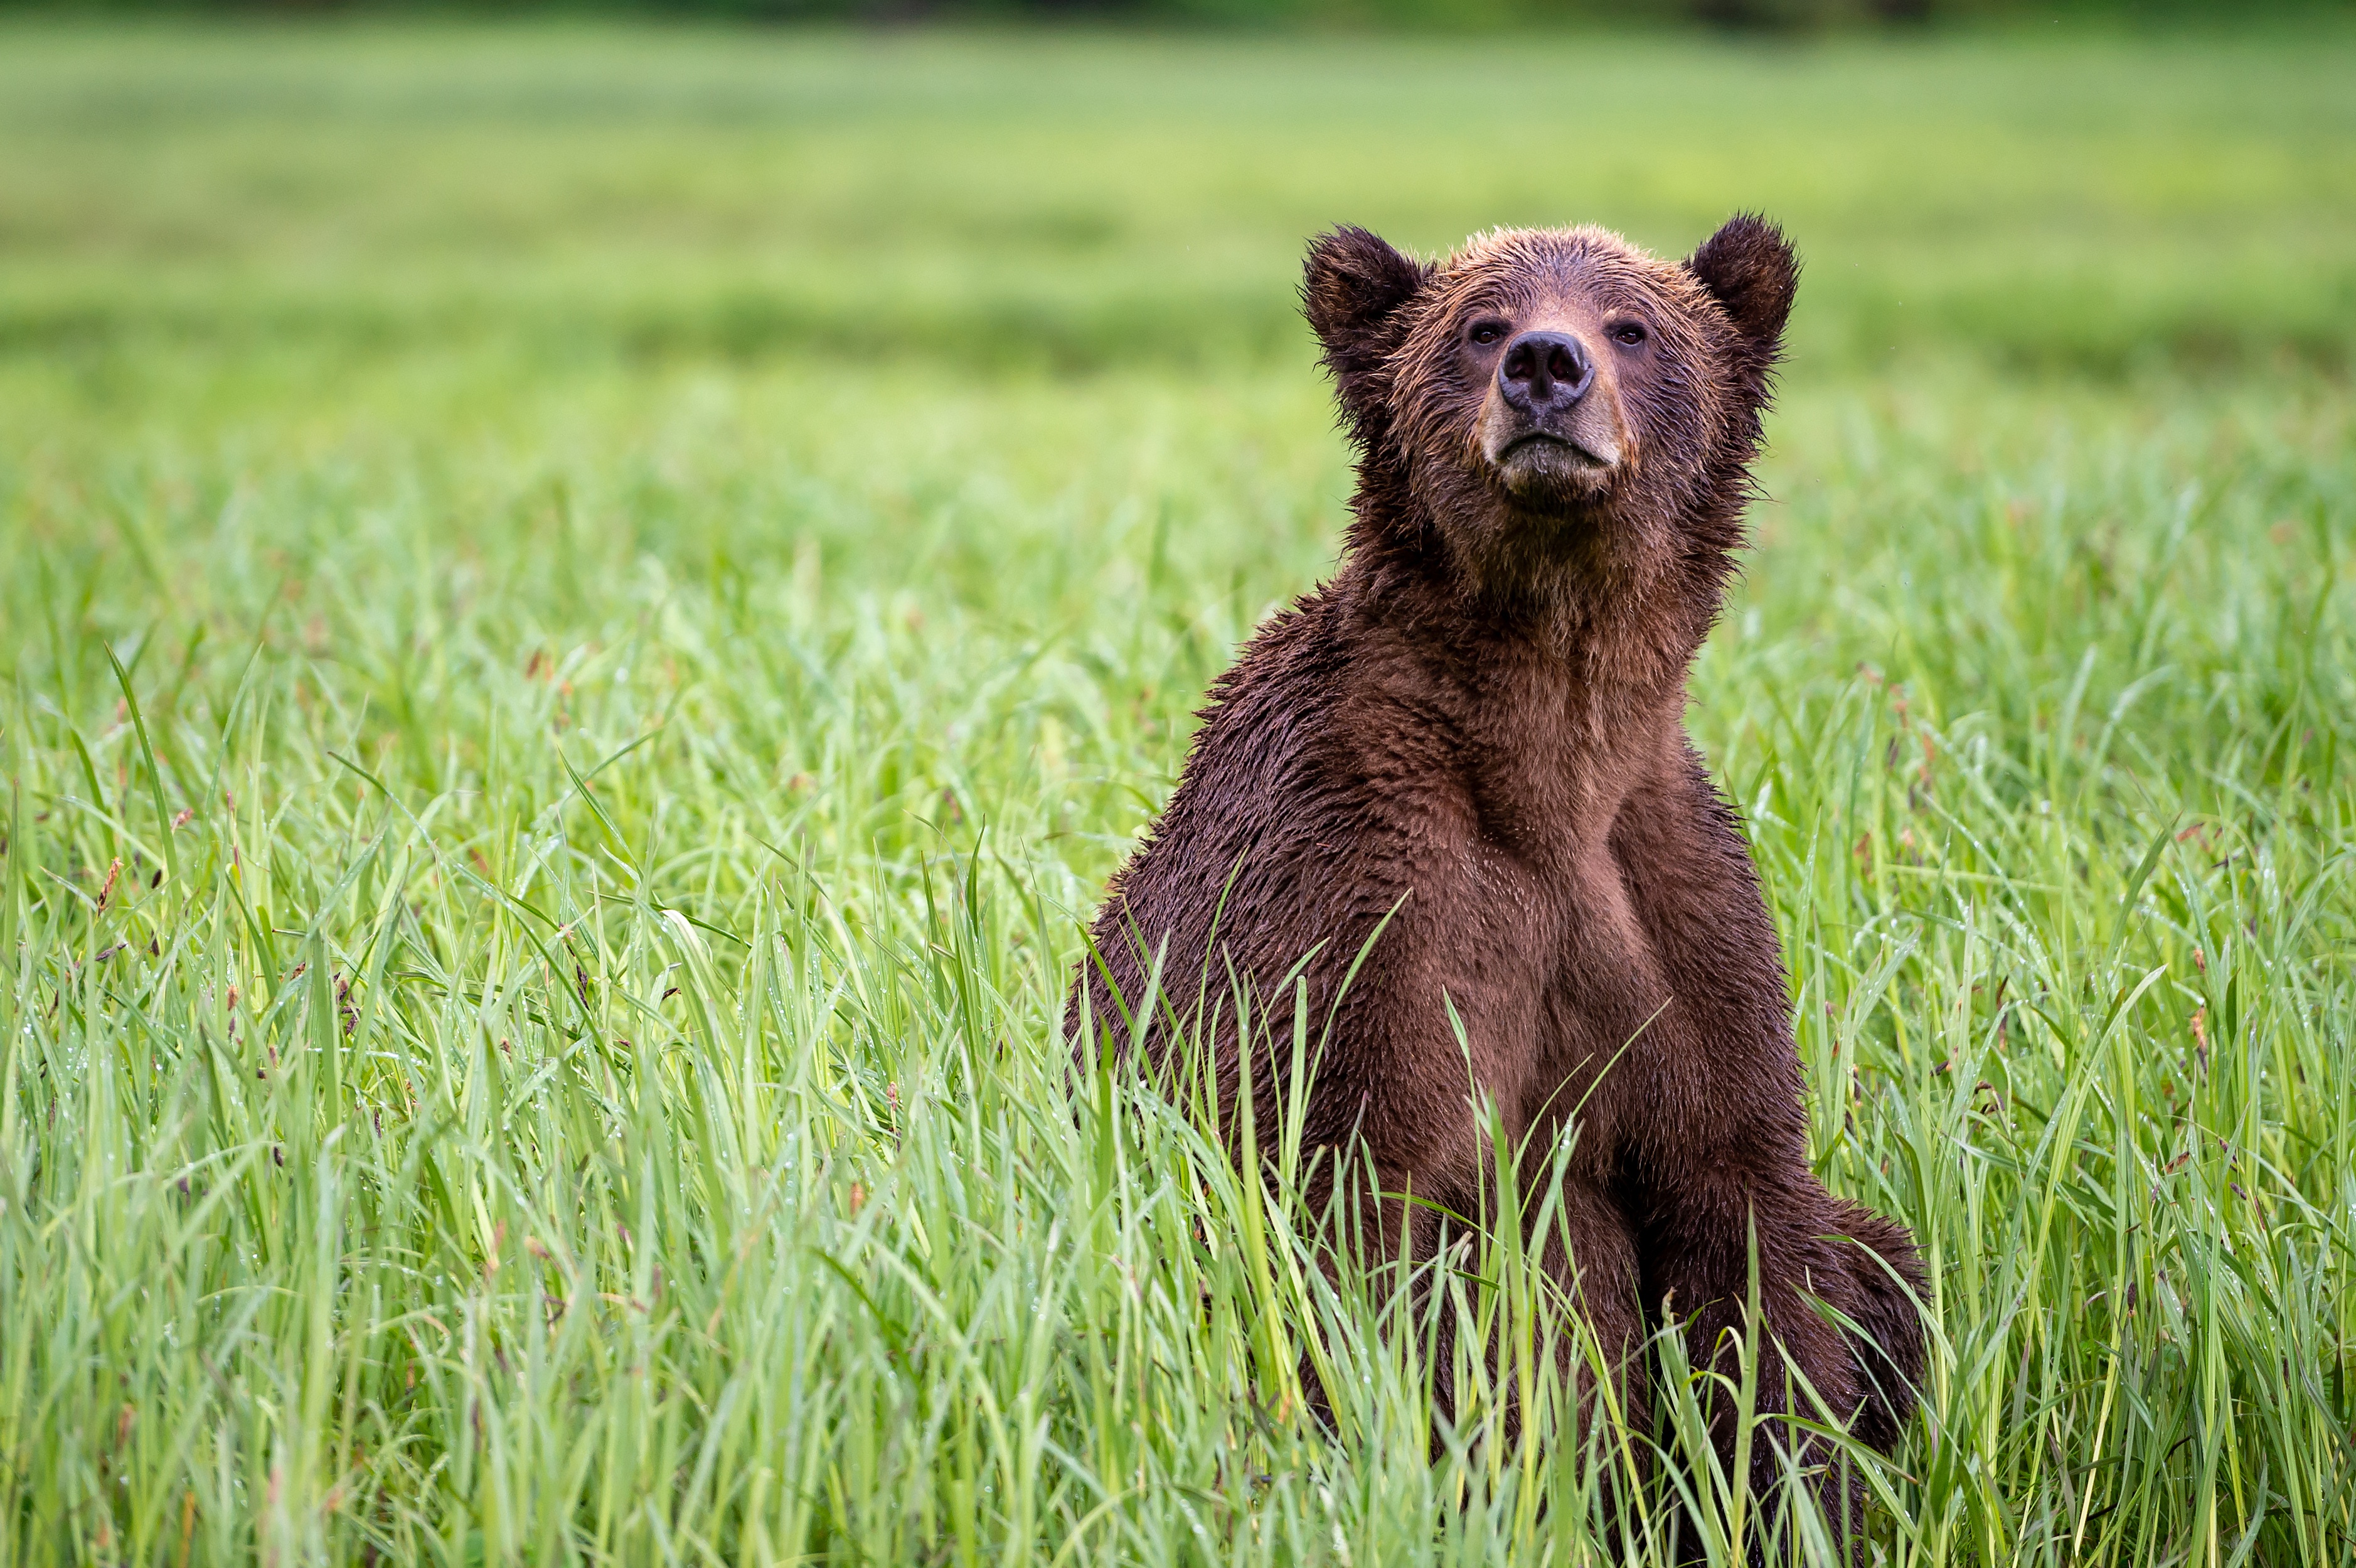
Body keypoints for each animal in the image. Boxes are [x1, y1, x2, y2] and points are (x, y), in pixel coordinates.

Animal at [1065, 214, 1913, 1535]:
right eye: (1480, 322)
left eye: (1633, 323)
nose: (1547, 366)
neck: (1545, 762)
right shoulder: (1357, 894)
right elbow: (1359, 1216)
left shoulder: (1674, 903)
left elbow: (1751, 1241)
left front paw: (1786, 1503)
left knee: (1887, 1269)